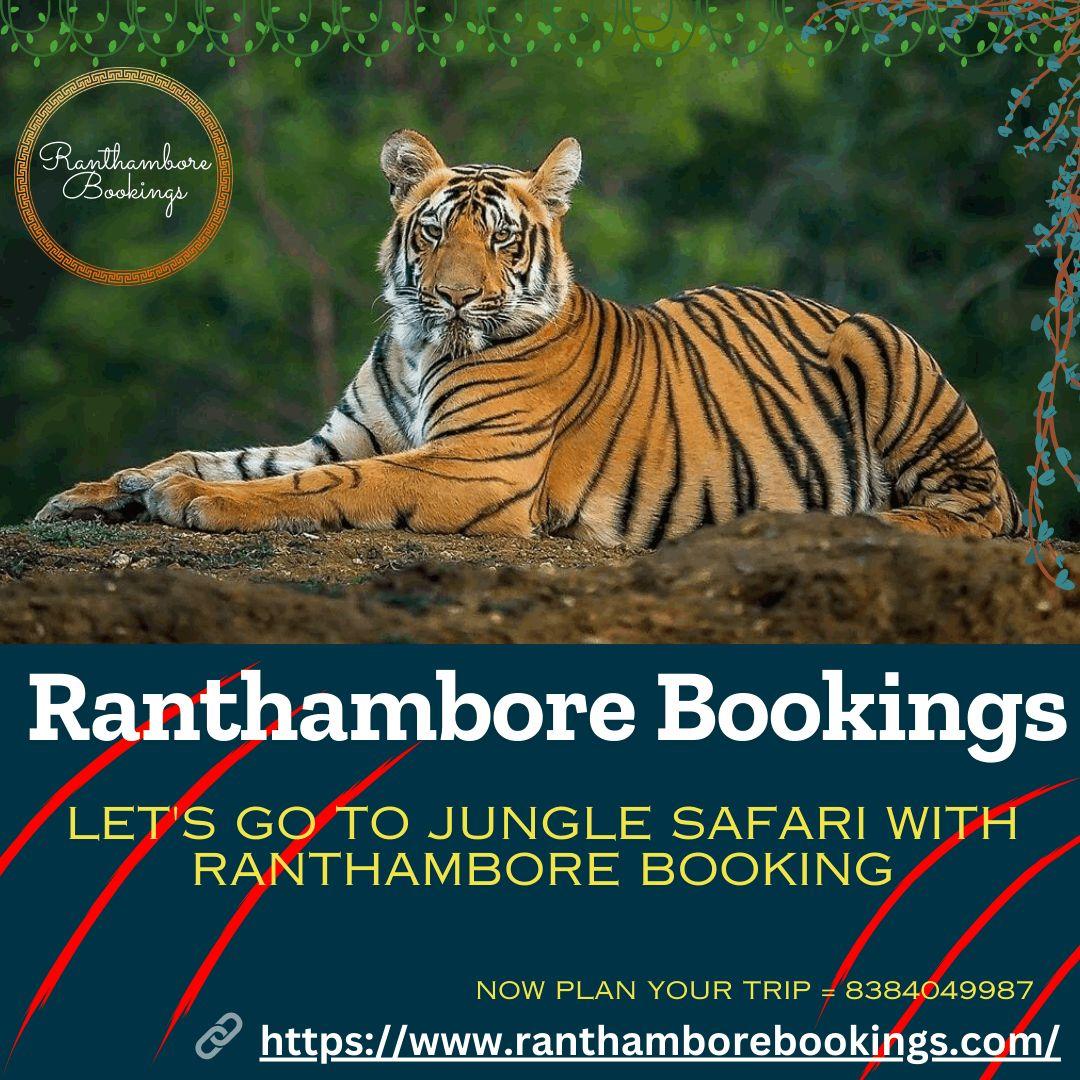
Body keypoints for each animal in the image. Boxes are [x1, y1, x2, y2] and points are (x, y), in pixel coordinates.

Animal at [36, 129, 1023, 546]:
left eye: (503, 240)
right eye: (435, 232)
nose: (455, 298)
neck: (418, 346)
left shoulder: (473, 464)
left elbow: (319, 485)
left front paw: (190, 502)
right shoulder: (346, 433)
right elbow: (226, 454)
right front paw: (108, 489)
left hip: (888, 359)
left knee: (980, 511)